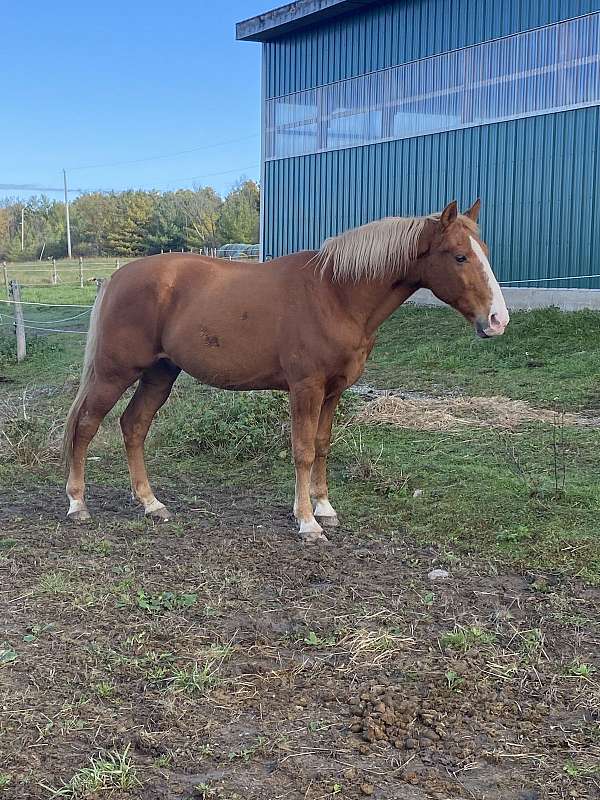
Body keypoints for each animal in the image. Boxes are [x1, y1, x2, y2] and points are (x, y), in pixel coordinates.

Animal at [63, 202, 508, 544]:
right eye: (459, 256)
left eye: (485, 249)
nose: (497, 320)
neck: (336, 293)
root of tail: (118, 277)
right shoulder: (305, 388)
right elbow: (303, 450)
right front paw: (308, 523)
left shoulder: (334, 390)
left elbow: (323, 445)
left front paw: (324, 508)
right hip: (114, 373)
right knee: (86, 426)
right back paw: (77, 503)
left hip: (159, 374)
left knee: (133, 426)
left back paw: (151, 503)